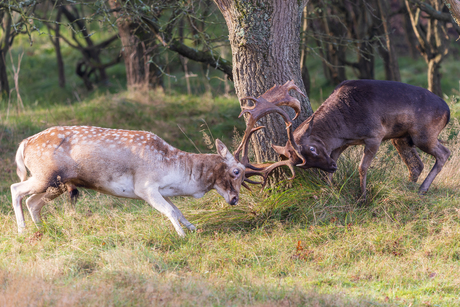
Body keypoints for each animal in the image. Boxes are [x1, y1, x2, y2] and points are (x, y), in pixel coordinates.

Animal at [10, 126, 246, 237]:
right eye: (236, 171)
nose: (235, 199)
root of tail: (24, 144)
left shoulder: (160, 190)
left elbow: (178, 211)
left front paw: (193, 228)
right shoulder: (144, 187)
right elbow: (169, 211)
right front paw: (181, 235)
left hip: (55, 183)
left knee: (32, 202)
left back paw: (43, 230)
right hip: (44, 175)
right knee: (16, 188)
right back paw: (22, 231)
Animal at [239, 80, 452, 199]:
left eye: (312, 149)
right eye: (302, 164)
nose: (332, 166)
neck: (345, 127)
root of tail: (448, 111)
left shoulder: (375, 135)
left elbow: (362, 167)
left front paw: (363, 197)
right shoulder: (339, 146)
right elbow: (330, 172)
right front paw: (329, 190)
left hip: (423, 134)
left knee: (445, 153)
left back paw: (423, 189)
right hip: (401, 138)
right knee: (416, 165)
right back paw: (409, 187)